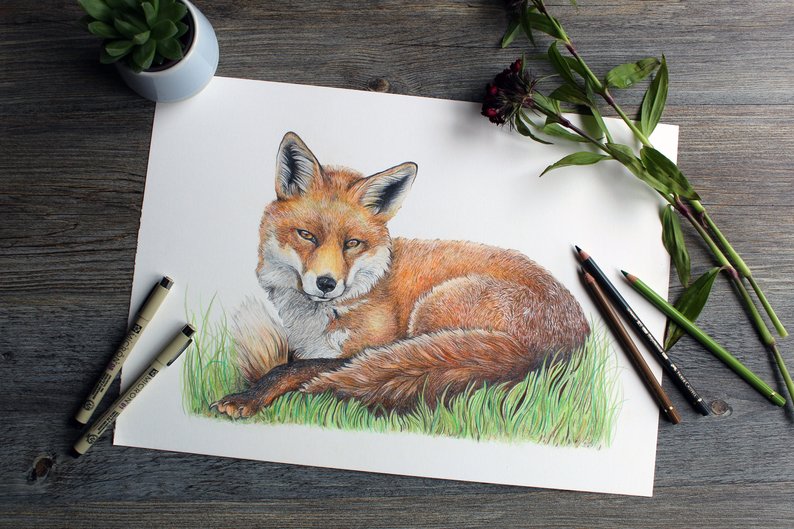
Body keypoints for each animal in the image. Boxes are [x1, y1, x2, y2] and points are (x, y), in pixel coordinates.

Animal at [212, 132, 590, 418]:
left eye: (352, 243)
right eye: (307, 236)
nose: (326, 284)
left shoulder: (366, 347)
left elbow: (289, 368)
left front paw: (247, 397)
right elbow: (290, 360)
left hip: (431, 308)